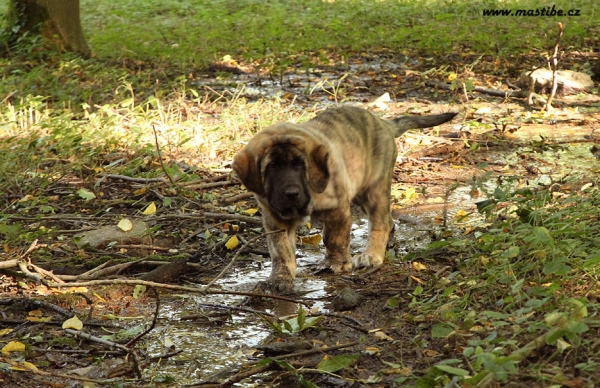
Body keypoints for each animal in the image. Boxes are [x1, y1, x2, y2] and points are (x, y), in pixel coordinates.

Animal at [232, 106, 458, 292]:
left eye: (299, 164)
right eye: (271, 167)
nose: (291, 194)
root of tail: (383, 122)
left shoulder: (337, 207)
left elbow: (334, 237)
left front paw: (336, 263)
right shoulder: (274, 218)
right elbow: (281, 251)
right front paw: (280, 278)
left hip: (374, 189)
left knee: (380, 222)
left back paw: (372, 255)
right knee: (388, 219)